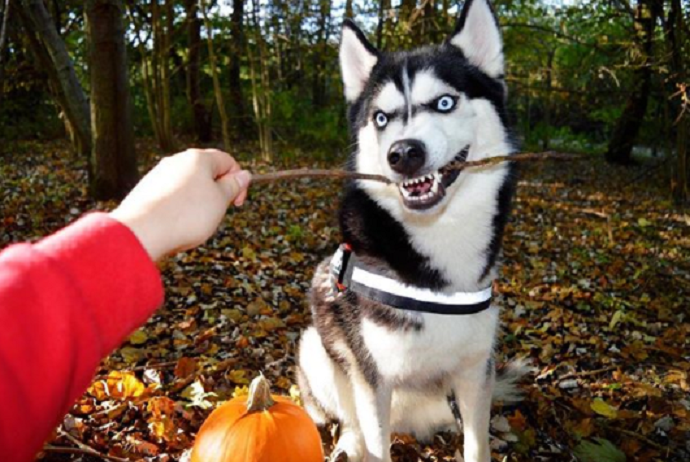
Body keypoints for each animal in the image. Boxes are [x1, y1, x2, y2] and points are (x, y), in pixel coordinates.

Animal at [296, 1, 520, 460]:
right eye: (381, 118)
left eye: (445, 102)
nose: (403, 154)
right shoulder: (373, 379)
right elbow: (375, 442)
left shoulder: (476, 371)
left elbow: (478, 446)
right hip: (315, 347)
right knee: (350, 419)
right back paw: (347, 443)